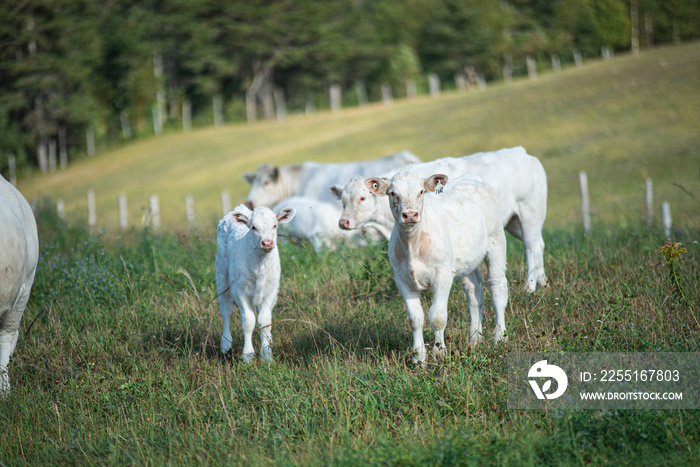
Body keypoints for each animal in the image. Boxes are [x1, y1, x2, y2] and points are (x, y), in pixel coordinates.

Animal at [217, 205, 296, 362]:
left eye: (275, 225)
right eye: (253, 227)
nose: (267, 243)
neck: (260, 265)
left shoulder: (271, 291)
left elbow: (265, 322)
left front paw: (267, 355)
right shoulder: (240, 290)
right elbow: (248, 322)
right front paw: (247, 356)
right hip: (222, 276)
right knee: (226, 310)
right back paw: (226, 344)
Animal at [330, 146, 548, 292]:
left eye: (362, 197)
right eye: (342, 199)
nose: (343, 222)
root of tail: (520, 151)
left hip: (530, 212)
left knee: (531, 246)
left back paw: (530, 287)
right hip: (513, 222)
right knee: (539, 244)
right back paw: (543, 281)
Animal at [364, 173, 506, 366]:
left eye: (421, 191)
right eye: (393, 193)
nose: (410, 214)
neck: (413, 243)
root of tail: (472, 178)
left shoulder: (443, 274)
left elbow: (437, 317)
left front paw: (439, 353)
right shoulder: (402, 278)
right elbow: (415, 318)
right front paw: (418, 357)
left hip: (496, 241)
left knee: (497, 287)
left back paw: (500, 337)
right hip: (465, 260)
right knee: (474, 291)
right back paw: (475, 340)